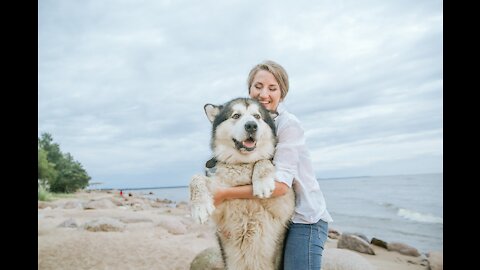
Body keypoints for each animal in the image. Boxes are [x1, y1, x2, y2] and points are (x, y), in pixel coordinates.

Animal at [189, 97, 294, 270]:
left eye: (257, 116)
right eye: (236, 115)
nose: (251, 125)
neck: (242, 164)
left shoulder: (284, 204)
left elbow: (263, 159)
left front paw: (262, 182)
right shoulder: (220, 211)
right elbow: (195, 178)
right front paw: (199, 206)